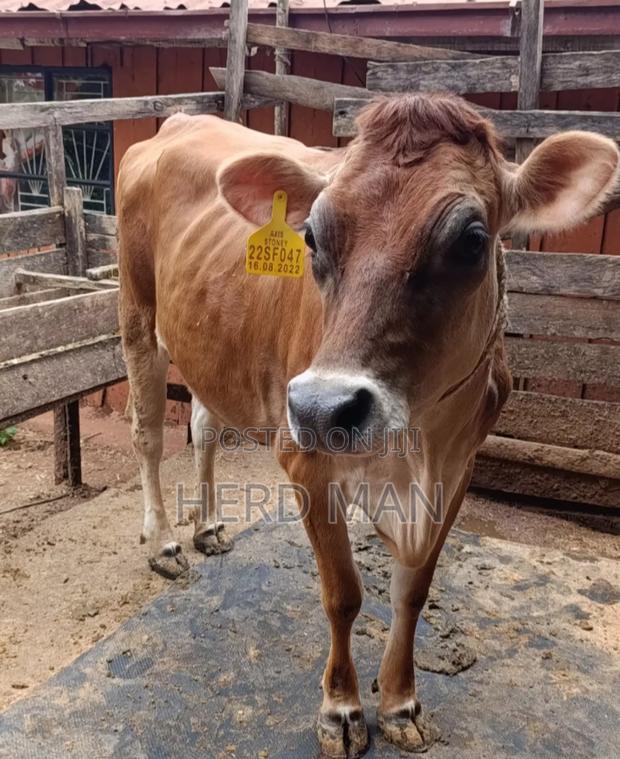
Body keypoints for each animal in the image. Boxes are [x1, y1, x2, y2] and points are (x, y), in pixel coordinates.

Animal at [117, 94, 619, 757]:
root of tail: (177, 121)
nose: (322, 408)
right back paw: (166, 541)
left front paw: (402, 703)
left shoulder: (460, 469)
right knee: (148, 431)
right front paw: (341, 711)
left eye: (472, 242)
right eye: (310, 235)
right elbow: (344, 594)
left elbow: (414, 590)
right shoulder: (305, 457)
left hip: (207, 337)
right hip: (136, 308)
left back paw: (209, 526)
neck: (418, 443)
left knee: (202, 423)